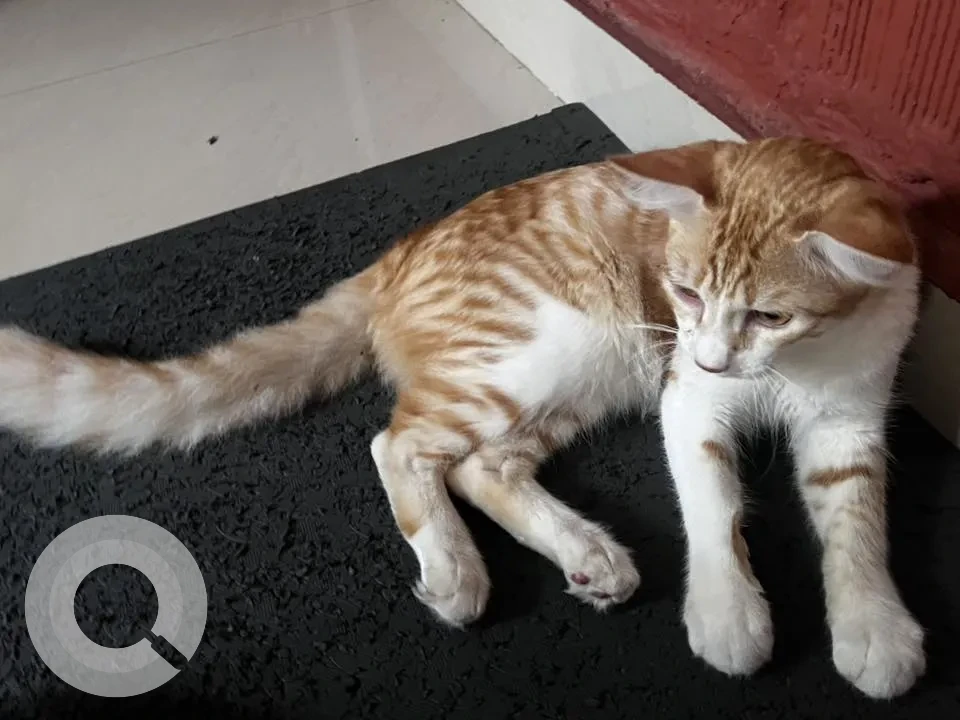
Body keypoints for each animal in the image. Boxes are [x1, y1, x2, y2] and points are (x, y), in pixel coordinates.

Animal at [0, 137, 924, 699]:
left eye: (769, 315)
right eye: (687, 291)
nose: (710, 355)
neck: (795, 366)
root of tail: (393, 256)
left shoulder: (849, 421)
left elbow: (857, 523)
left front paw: (873, 625)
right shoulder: (688, 401)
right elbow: (715, 504)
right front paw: (731, 612)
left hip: (584, 377)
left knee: (485, 466)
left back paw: (584, 551)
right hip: (554, 346)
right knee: (400, 443)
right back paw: (455, 564)